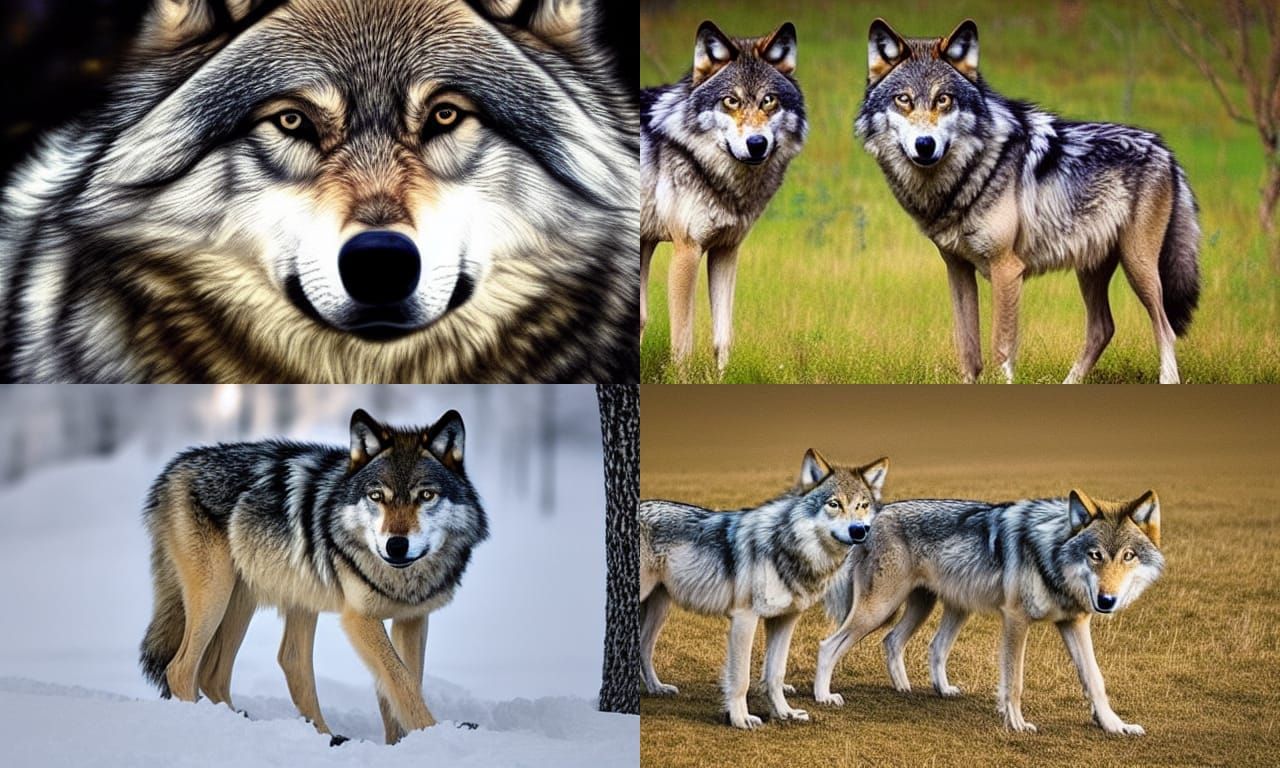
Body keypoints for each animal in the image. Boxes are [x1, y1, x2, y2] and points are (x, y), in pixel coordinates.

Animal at [139, 407, 488, 745]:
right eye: (377, 497)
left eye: (426, 496)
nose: (396, 545)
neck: (401, 580)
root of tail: (175, 467)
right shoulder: (358, 618)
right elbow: (402, 682)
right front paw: (434, 735)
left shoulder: (412, 618)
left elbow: (401, 683)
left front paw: (401, 743)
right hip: (217, 595)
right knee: (181, 669)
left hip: (262, 598)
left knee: (242, 669)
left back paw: (314, 735)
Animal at [640, 450, 888, 729]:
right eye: (834, 504)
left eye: (862, 506)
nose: (859, 530)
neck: (790, 550)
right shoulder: (744, 618)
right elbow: (741, 679)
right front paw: (740, 719)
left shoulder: (786, 620)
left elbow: (776, 674)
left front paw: (785, 713)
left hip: (659, 609)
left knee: (643, 648)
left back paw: (657, 688)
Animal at [641, 20, 807, 374]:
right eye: (731, 101)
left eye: (769, 100)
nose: (757, 144)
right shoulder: (686, 251)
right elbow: (683, 344)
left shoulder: (726, 251)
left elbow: (722, 337)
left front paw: (721, 378)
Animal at [814, 489, 1164, 735]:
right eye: (1095, 555)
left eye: (1128, 556)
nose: (1106, 601)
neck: (1050, 553)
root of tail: (872, 517)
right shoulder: (1016, 619)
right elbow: (1015, 681)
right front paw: (1017, 724)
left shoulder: (1075, 623)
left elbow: (1095, 679)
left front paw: (1115, 725)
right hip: (881, 609)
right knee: (829, 645)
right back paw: (823, 696)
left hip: (940, 608)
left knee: (911, 643)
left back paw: (920, 689)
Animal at [857, 19, 1200, 383]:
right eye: (903, 100)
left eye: (944, 99)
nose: (925, 144)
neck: (970, 174)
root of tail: (1165, 149)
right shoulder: (957, 269)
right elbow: (967, 349)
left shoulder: (1007, 269)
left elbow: (1000, 348)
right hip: (1091, 268)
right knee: (1102, 328)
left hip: (1138, 265)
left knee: (1164, 327)